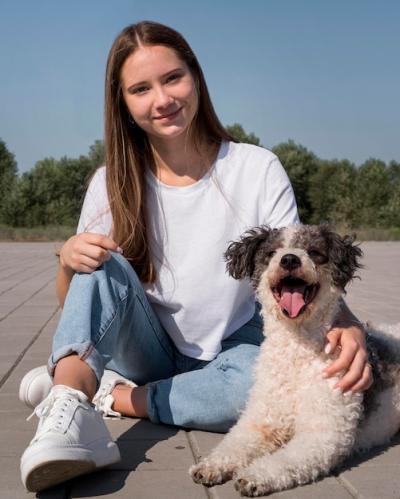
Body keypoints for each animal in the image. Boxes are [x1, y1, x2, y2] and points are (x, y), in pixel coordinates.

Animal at [190, 226, 400, 496]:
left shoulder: (322, 435)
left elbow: (284, 461)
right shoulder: (259, 420)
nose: (289, 259)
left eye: (313, 252)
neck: (296, 355)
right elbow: (234, 443)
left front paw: (255, 475)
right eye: (271, 252)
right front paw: (213, 464)